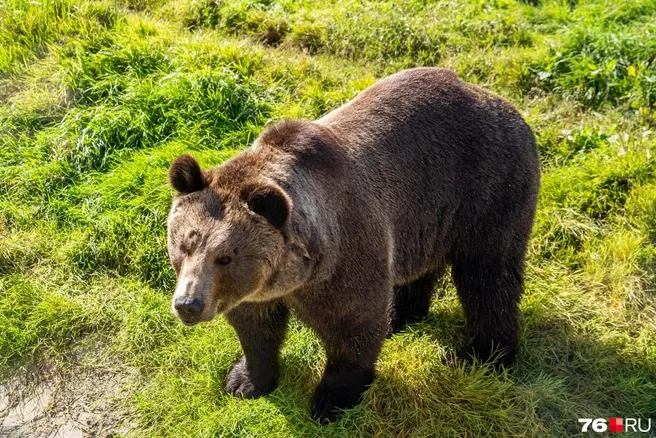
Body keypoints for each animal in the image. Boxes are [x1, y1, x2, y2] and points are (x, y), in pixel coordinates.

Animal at [166, 67, 540, 423]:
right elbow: (255, 328)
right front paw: (244, 380)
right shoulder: (257, 290)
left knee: (488, 274)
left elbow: (353, 324)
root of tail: (497, 99)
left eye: (225, 257)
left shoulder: (345, 253)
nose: (188, 305)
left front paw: (330, 401)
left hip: (487, 186)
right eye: (184, 245)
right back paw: (401, 314)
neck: (299, 273)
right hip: (425, 216)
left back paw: (483, 354)